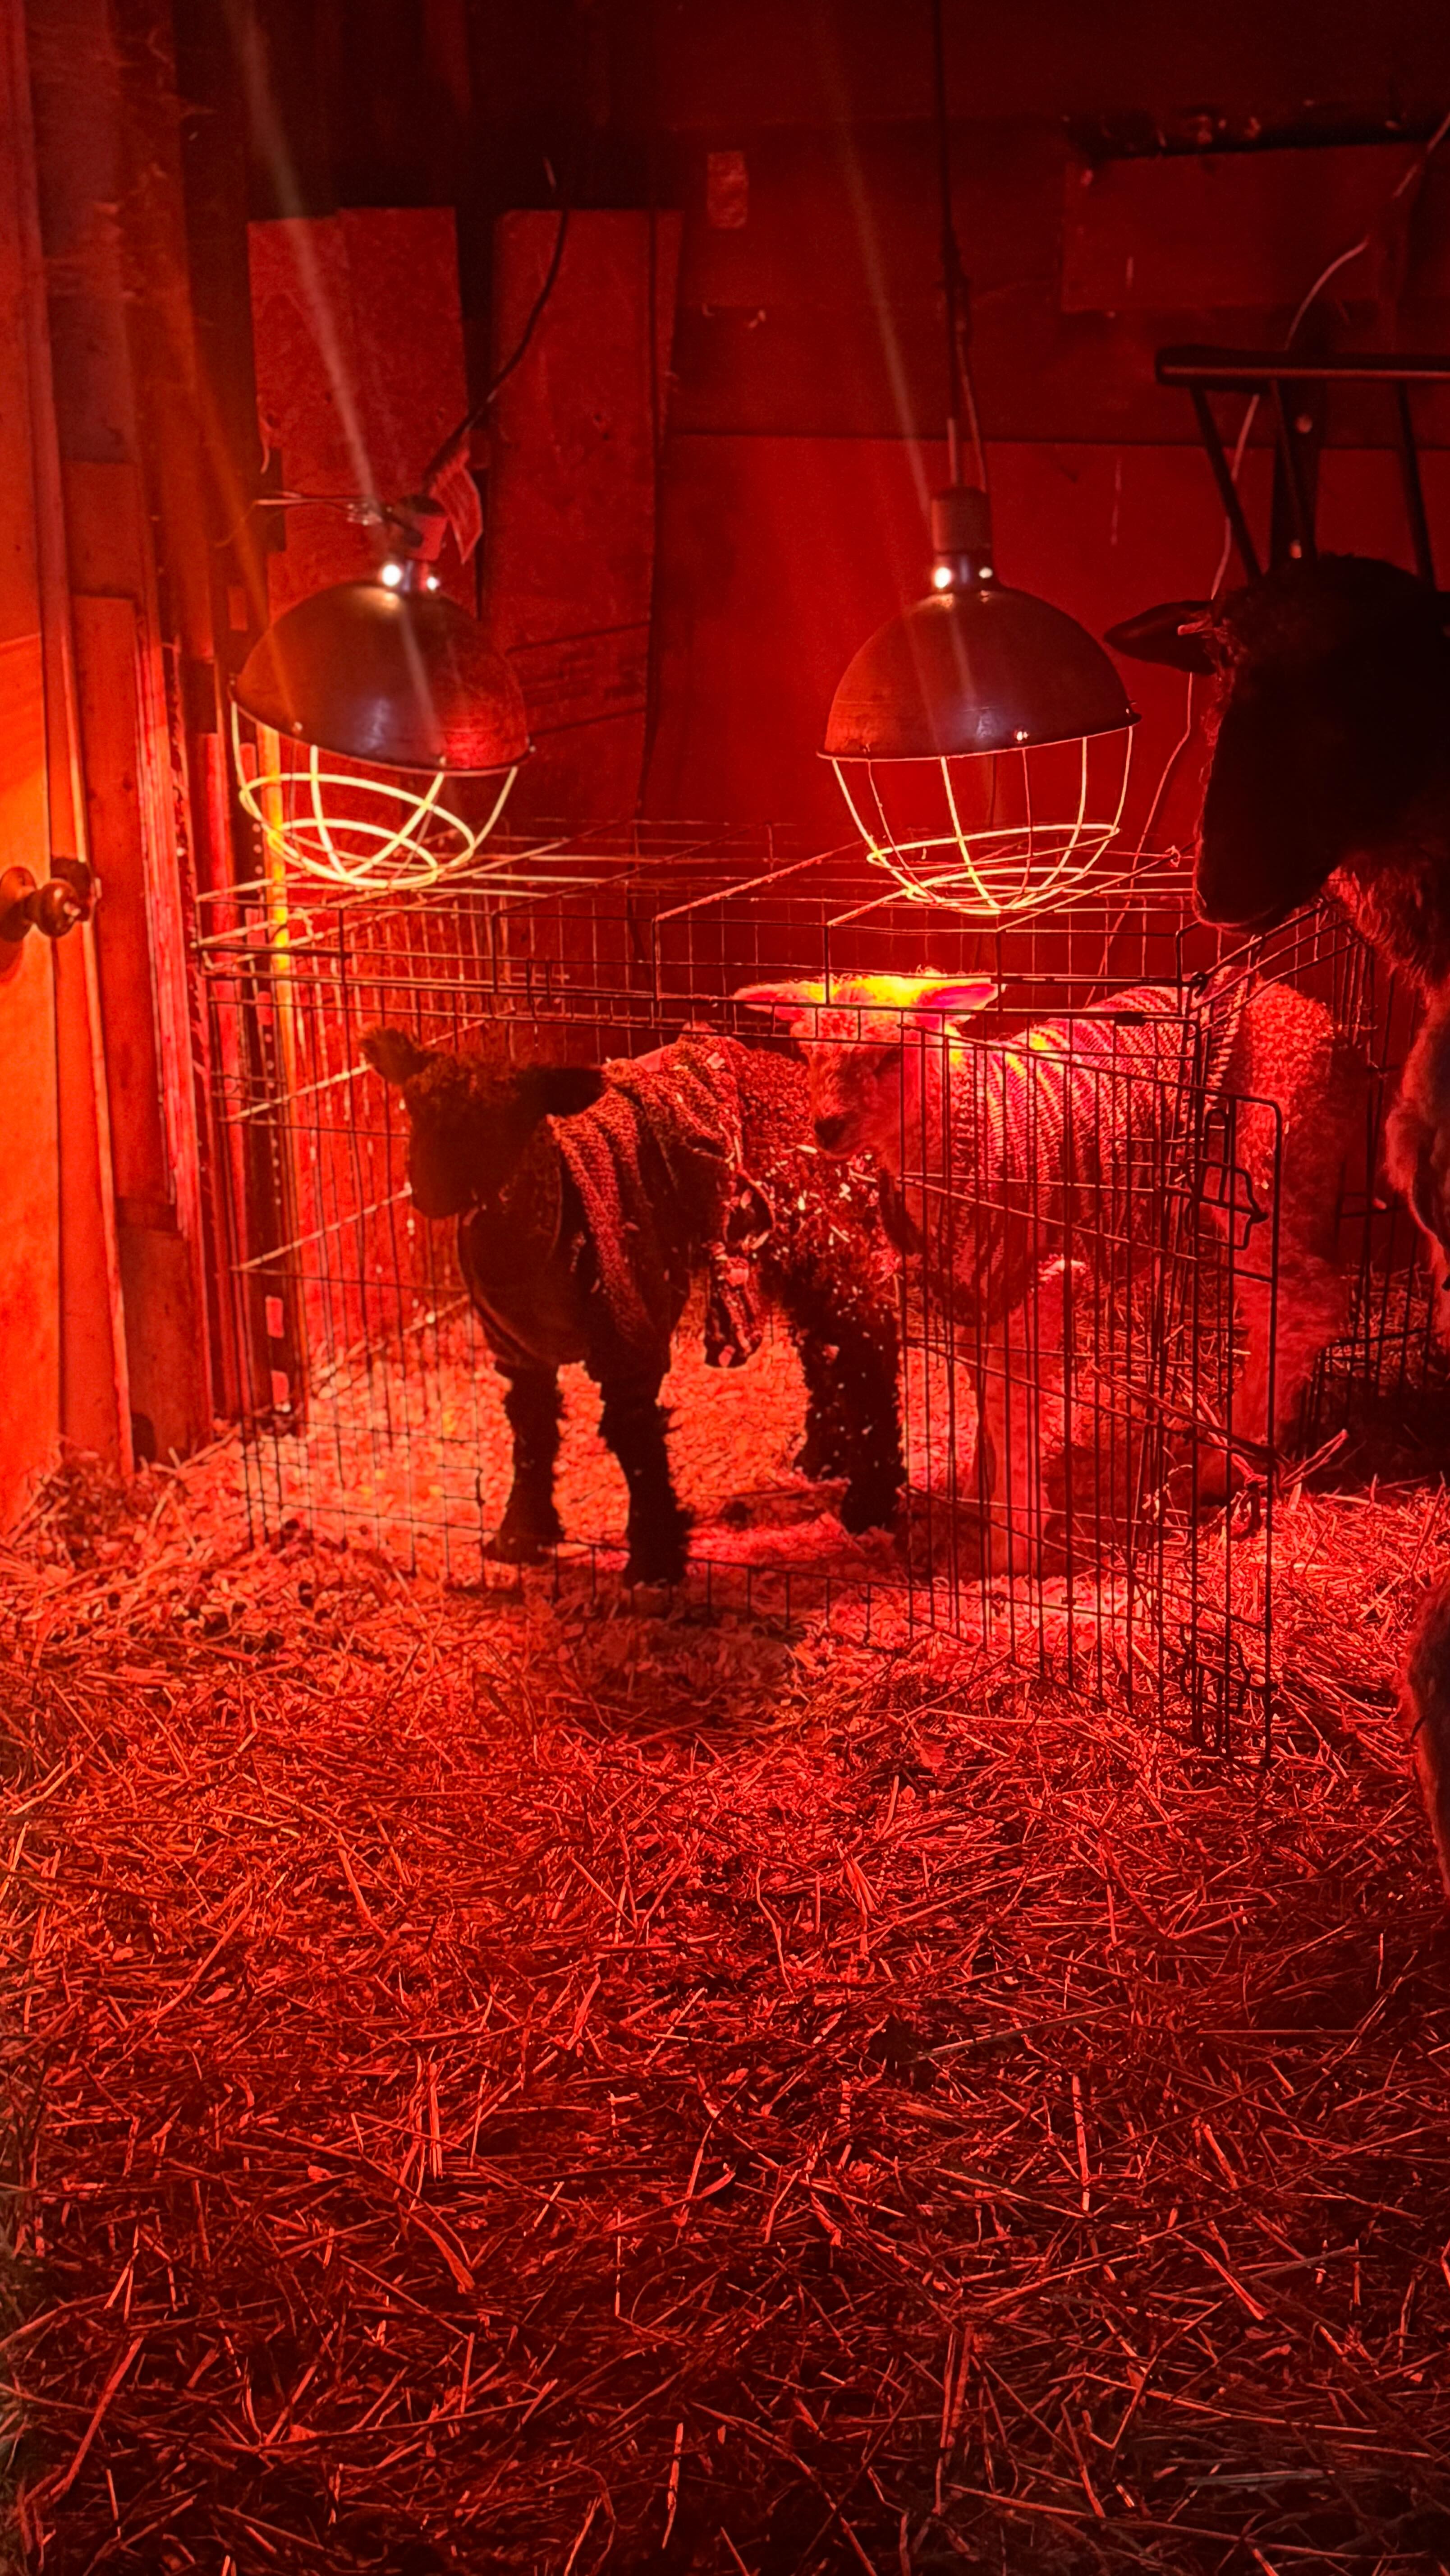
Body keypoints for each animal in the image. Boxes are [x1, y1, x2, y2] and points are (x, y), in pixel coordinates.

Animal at [361, 1023, 902, 1585]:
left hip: (823, 1231)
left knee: (867, 1346)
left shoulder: (628, 1330)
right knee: (824, 1349)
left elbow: (635, 1440)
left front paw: (654, 1559)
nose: (429, 1189)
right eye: (415, 1107)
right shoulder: (518, 1349)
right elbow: (531, 1433)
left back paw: (871, 1503)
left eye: (504, 1121)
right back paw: (823, 1457)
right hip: (792, 1245)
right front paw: (521, 1534)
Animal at [737, 973, 1363, 1570]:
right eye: (810, 1055)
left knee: (1303, 1307)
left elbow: (1008, 1399)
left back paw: (1228, 1462)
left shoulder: (1039, 1275)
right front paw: (982, 1487)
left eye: (890, 1057)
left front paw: (1013, 1538)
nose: (827, 1128)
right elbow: (984, 1387)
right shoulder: (975, 1290)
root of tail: (1322, 1021)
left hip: (1264, 1162)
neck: (957, 1129)